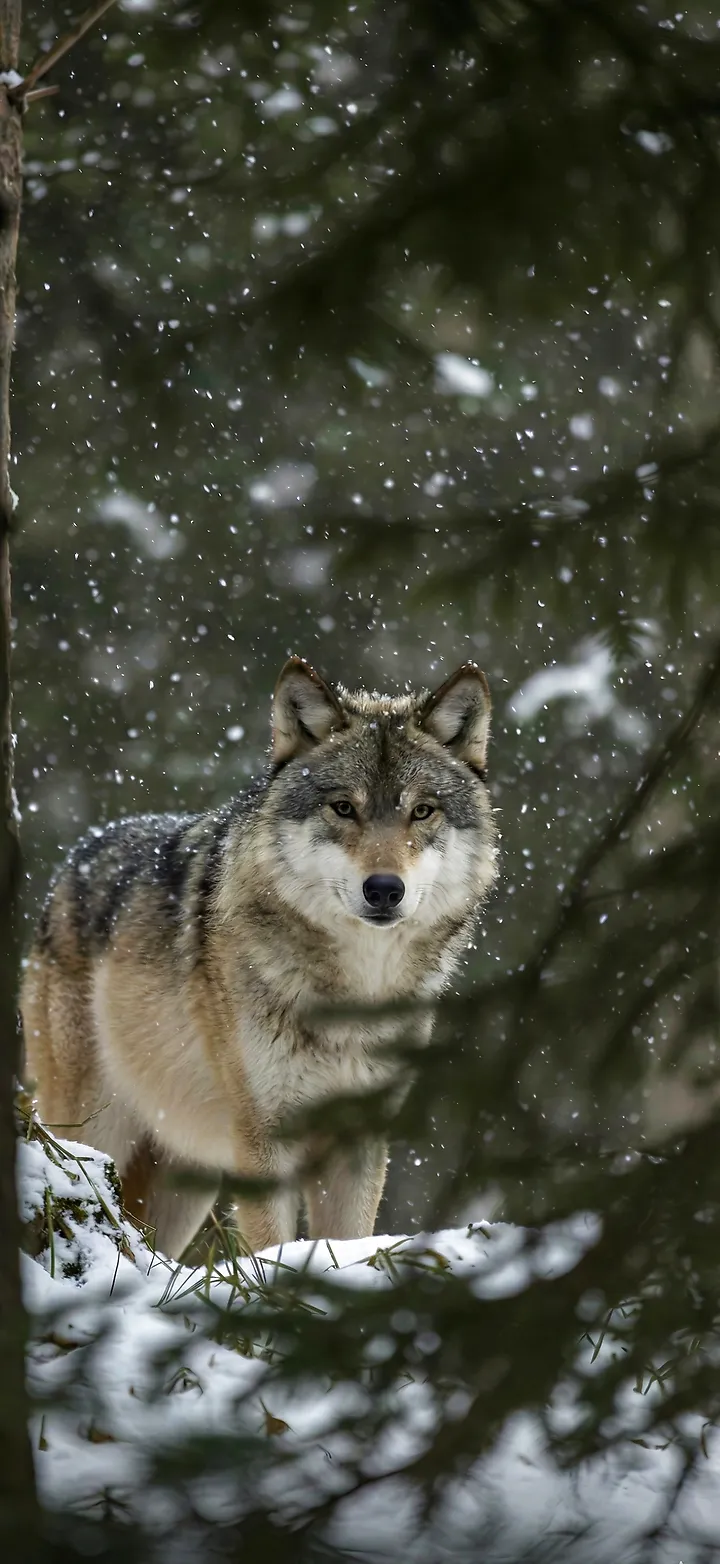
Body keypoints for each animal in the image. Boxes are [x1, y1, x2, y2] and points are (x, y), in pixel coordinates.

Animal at [22, 658, 499, 1258]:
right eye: (343, 808)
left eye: (423, 811)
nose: (385, 889)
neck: (354, 995)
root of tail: (71, 863)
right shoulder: (264, 1138)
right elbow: (271, 1246)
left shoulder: (359, 1140)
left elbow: (349, 1241)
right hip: (91, 1135)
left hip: (184, 1179)